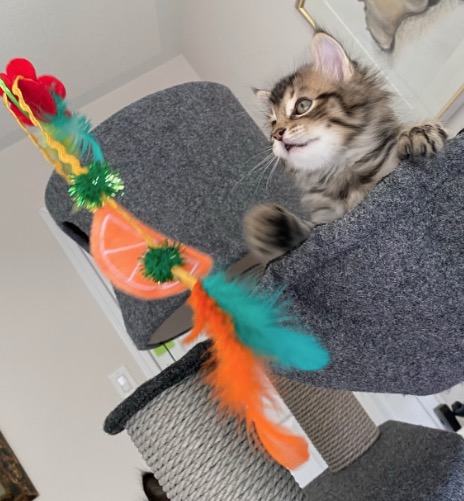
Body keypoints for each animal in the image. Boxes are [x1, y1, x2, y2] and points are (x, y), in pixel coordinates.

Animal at [244, 30, 447, 264]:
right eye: (273, 123)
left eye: (303, 105)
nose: (276, 135)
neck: (341, 171)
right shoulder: (323, 219)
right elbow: (303, 232)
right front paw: (267, 224)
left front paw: (419, 133)